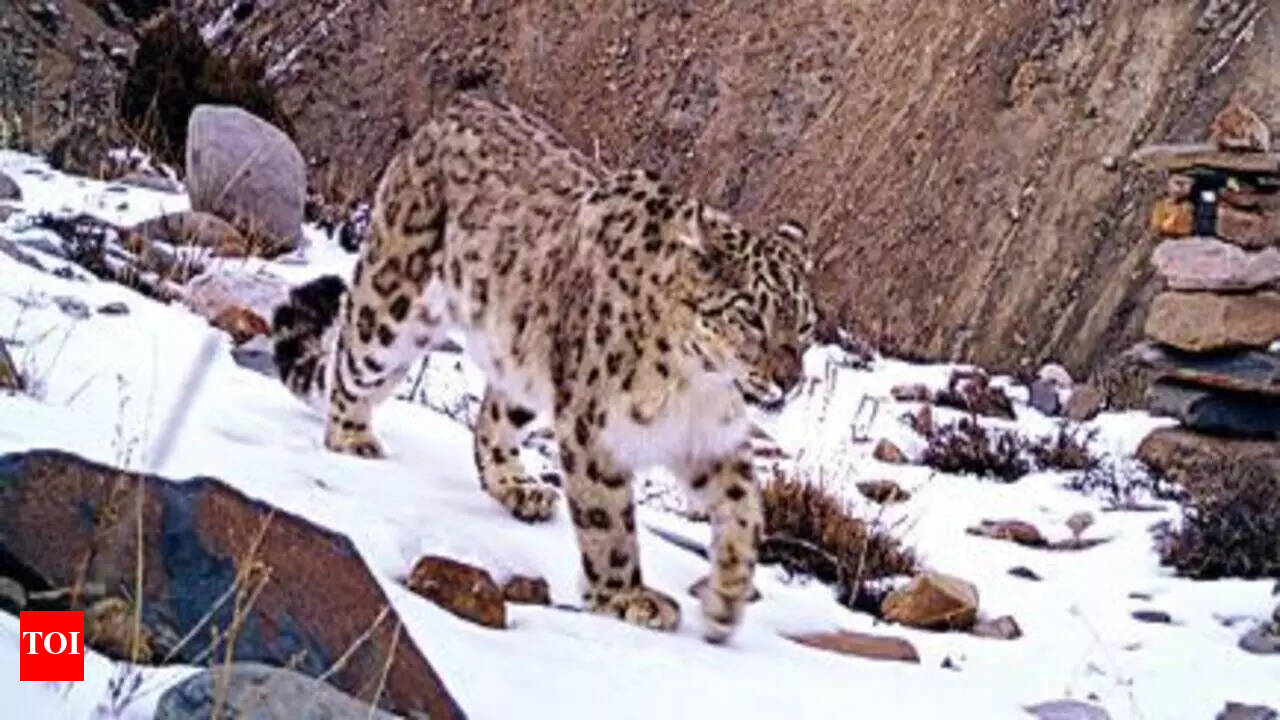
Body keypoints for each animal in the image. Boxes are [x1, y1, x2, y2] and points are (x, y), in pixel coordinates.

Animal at [271, 93, 816, 642]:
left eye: (805, 324)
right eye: (752, 316)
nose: (788, 381)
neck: (696, 383)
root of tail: (455, 108)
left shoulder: (710, 436)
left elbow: (745, 509)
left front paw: (725, 598)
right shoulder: (595, 429)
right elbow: (608, 520)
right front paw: (627, 598)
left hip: (522, 364)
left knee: (491, 419)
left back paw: (519, 489)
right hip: (393, 305)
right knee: (351, 360)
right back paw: (351, 437)